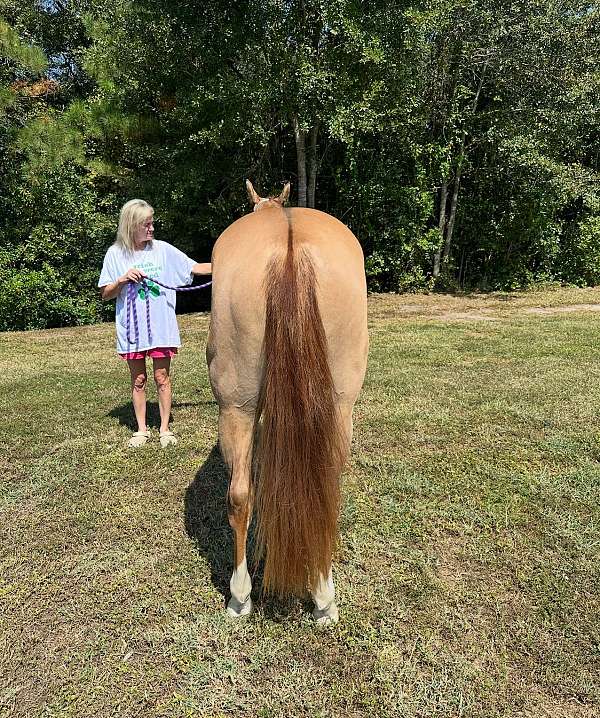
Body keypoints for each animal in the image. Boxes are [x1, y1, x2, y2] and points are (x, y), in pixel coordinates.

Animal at [206, 180, 368, 624]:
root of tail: (288, 245)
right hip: (338, 409)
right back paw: (322, 597)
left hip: (237, 410)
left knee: (240, 495)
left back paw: (240, 597)